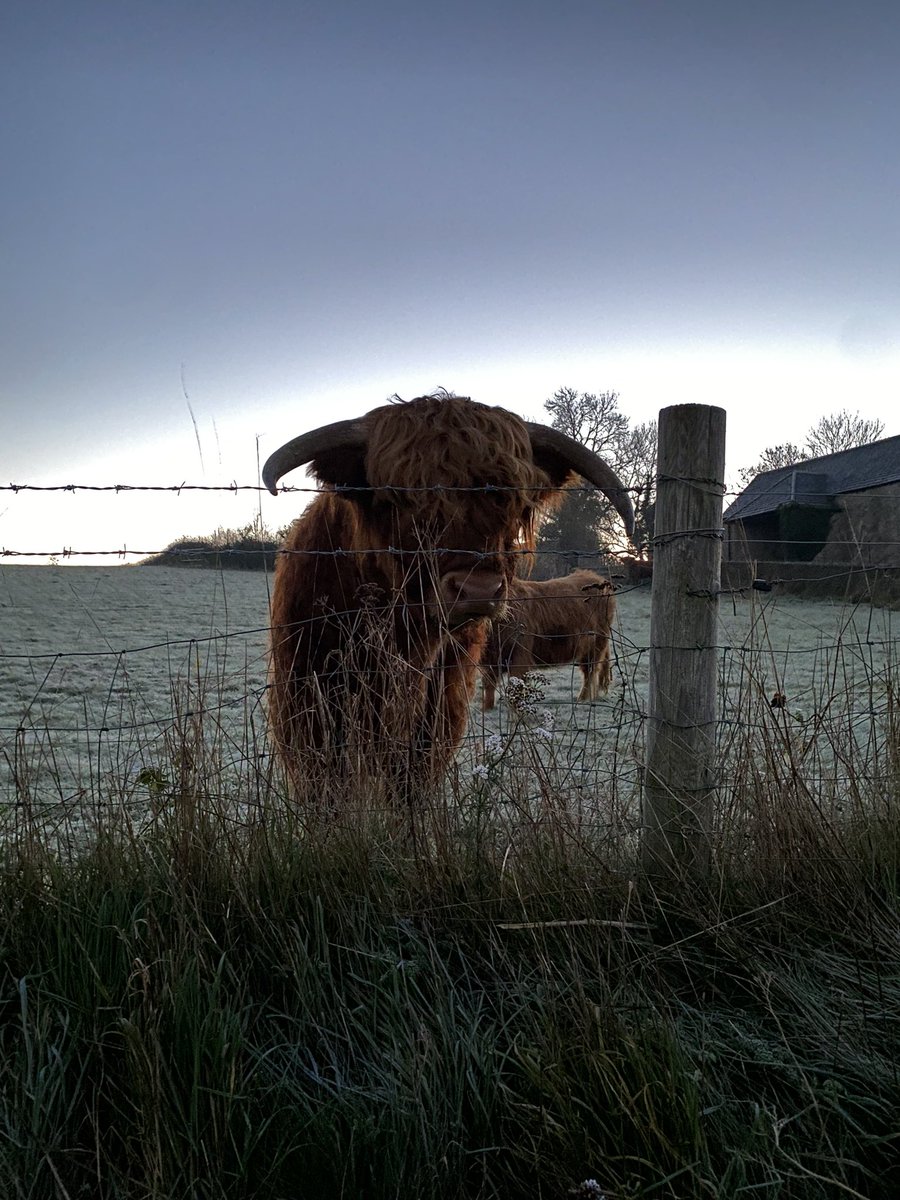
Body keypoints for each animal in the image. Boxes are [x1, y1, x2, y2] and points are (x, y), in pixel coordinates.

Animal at [480, 569, 617, 711]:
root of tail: (594, 576)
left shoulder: (520, 655)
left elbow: (516, 684)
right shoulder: (491, 659)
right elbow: (488, 685)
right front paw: (486, 708)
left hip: (595, 644)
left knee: (589, 672)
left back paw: (582, 700)